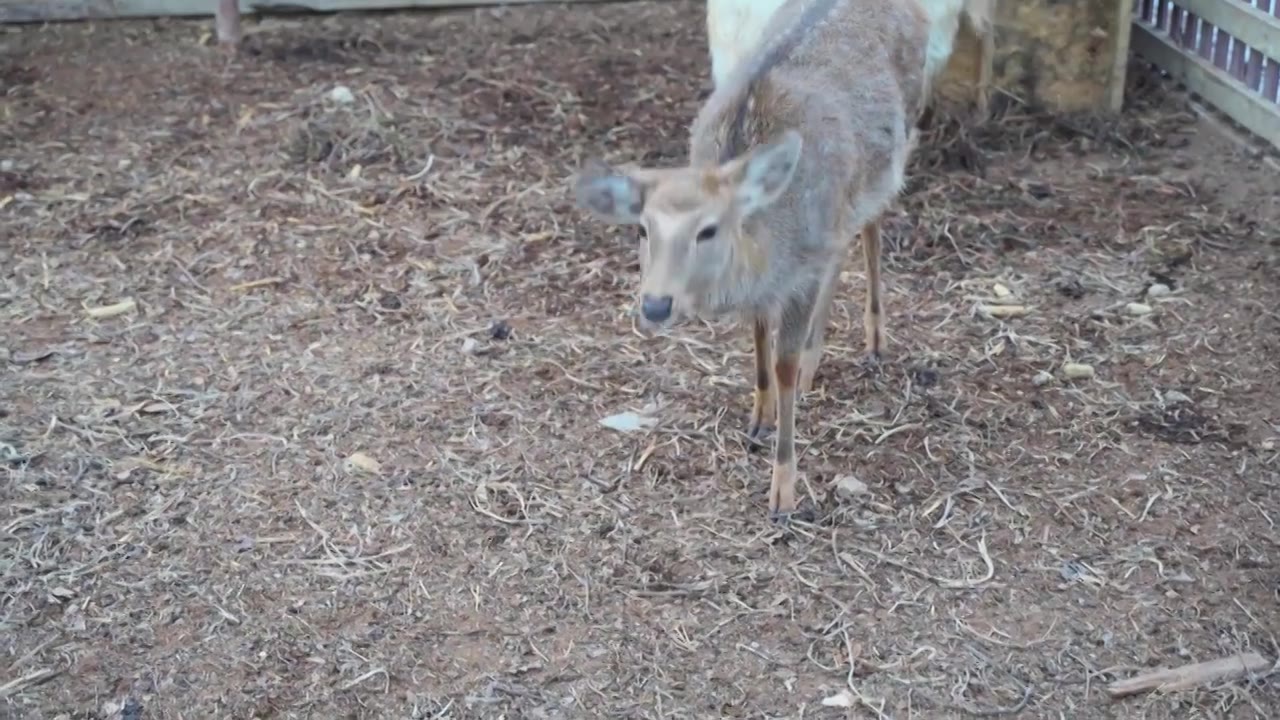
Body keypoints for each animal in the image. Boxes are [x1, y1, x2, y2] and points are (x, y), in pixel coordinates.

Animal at [573, 0, 931, 517]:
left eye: (708, 229)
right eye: (642, 228)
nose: (656, 305)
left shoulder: (801, 270)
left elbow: (783, 363)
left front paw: (783, 489)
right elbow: (759, 334)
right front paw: (759, 416)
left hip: (903, 132)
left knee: (872, 221)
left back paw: (873, 339)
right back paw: (816, 360)